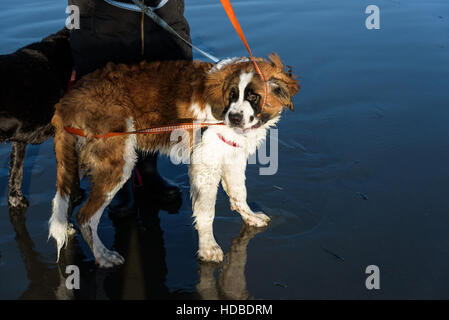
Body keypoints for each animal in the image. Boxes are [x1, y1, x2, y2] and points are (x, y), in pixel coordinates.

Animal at [49, 53, 298, 266]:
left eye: (253, 97)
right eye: (232, 95)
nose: (234, 118)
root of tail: (67, 99)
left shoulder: (232, 155)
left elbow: (239, 193)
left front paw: (249, 216)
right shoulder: (204, 164)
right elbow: (206, 211)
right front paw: (208, 248)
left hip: (79, 158)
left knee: (64, 196)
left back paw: (65, 226)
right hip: (117, 161)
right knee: (86, 216)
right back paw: (102, 255)